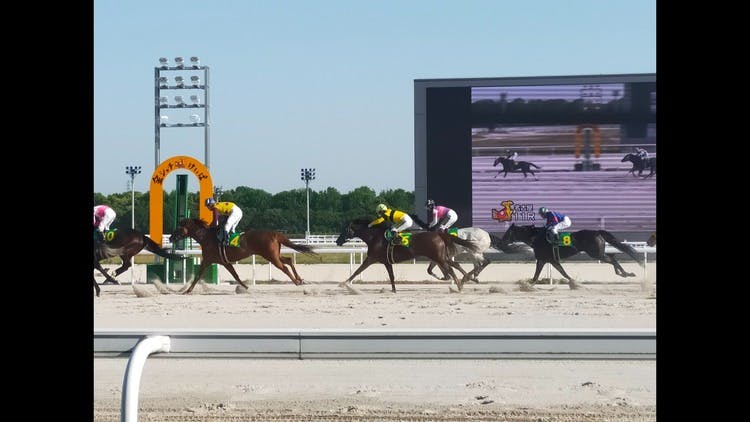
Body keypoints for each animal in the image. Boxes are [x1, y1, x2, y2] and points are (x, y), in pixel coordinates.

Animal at [169, 218, 318, 294]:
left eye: (179, 227)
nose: (170, 237)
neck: (206, 237)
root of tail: (275, 234)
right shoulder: (223, 262)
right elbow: (235, 275)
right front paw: (244, 287)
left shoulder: (208, 260)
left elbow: (198, 275)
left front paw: (187, 290)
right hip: (273, 255)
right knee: (289, 260)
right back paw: (299, 279)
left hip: (271, 256)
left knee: (284, 267)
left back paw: (297, 282)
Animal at [334, 219, 482, 292]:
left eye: (345, 230)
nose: (337, 241)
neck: (374, 238)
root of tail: (439, 235)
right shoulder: (386, 262)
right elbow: (392, 276)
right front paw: (393, 290)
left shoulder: (371, 258)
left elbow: (358, 270)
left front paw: (344, 284)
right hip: (440, 256)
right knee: (453, 265)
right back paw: (465, 280)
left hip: (438, 257)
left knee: (450, 268)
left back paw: (459, 285)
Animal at [494, 223, 648, 288]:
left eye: (507, 233)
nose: (500, 242)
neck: (536, 237)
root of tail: (597, 231)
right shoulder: (549, 260)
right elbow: (560, 272)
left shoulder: (544, 259)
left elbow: (541, 274)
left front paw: (527, 284)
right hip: (598, 253)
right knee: (613, 258)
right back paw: (624, 273)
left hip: (595, 253)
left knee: (612, 259)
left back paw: (626, 273)